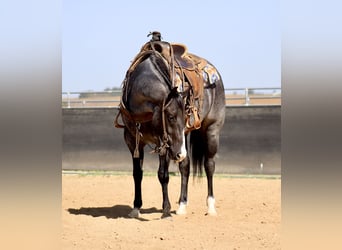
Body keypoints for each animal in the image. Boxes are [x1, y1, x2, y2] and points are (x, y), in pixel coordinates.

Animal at [116, 35, 226, 219]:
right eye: (171, 116)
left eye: (184, 115)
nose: (178, 154)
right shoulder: (132, 140)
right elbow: (137, 174)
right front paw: (136, 207)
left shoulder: (163, 142)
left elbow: (163, 174)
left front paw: (166, 210)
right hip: (182, 140)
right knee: (185, 165)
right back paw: (182, 205)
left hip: (211, 130)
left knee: (209, 165)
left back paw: (210, 206)